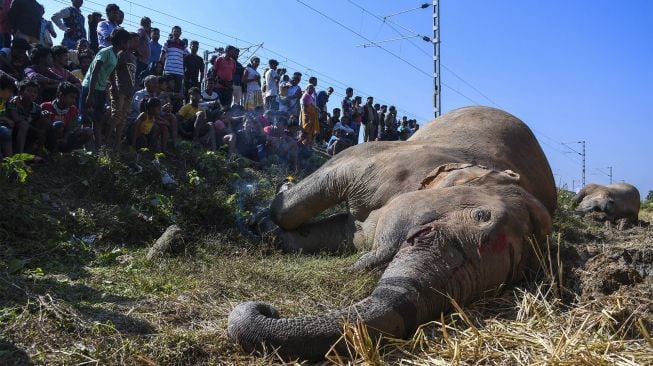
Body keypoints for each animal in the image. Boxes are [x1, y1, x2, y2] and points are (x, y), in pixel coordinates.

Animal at [228, 106, 556, 360]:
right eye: (481, 216)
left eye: (506, 280)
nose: (267, 309)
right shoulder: (384, 160)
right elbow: (330, 177)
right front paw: (273, 202)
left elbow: (335, 234)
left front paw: (265, 226)